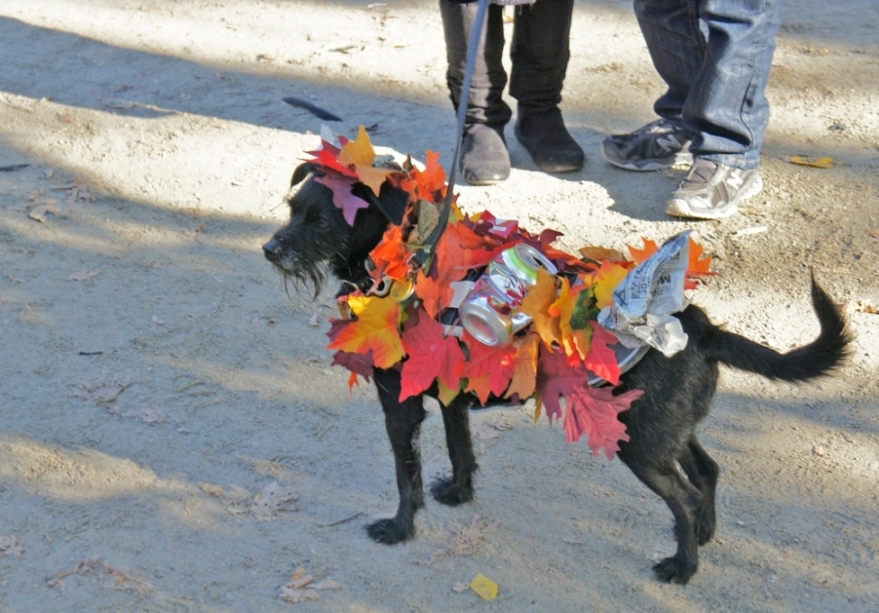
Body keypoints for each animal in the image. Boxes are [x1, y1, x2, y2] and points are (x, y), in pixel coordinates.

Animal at [262, 166, 852, 584]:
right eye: (291, 209)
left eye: (320, 221)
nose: (269, 249)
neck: (407, 259)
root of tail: (701, 326)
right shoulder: (451, 396)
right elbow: (460, 449)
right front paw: (459, 493)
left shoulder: (399, 406)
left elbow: (406, 474)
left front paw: (401, 527)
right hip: (664, 430)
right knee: (707, 471)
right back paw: (704, 537)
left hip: (640, 444)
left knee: (682, 496)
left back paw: (682, 567)